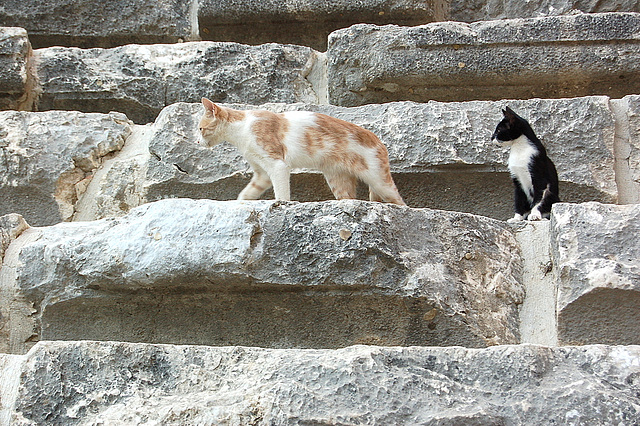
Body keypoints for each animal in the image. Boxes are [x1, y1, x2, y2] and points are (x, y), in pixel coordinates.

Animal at [198, 98, 404, 205]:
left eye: (200, 128)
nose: (198, 141)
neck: (241, 128)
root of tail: (379, 140)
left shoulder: (277, 165)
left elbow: (281, 193)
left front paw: (282, 205)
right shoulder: (262, 173)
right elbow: (248, 192)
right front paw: (241, 203)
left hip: (379, 181)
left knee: (400, 202)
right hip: (338, 181)